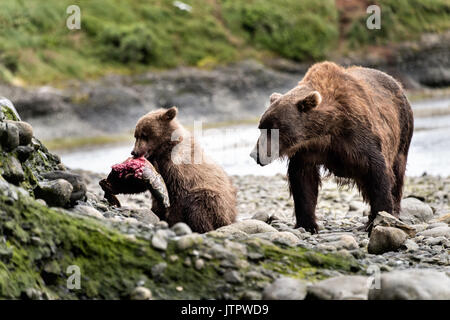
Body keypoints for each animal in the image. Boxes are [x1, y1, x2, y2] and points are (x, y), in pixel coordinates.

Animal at [250, 61, 414, 234]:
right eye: (261, 127)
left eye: (272, 129)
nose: (255, 154)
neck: (325, 129)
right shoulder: (308, 151)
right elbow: (303, 181)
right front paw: (307, 224)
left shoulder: (358, 137)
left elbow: (377, 172)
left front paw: (379, 219)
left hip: (402, 132)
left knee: (397, 172)